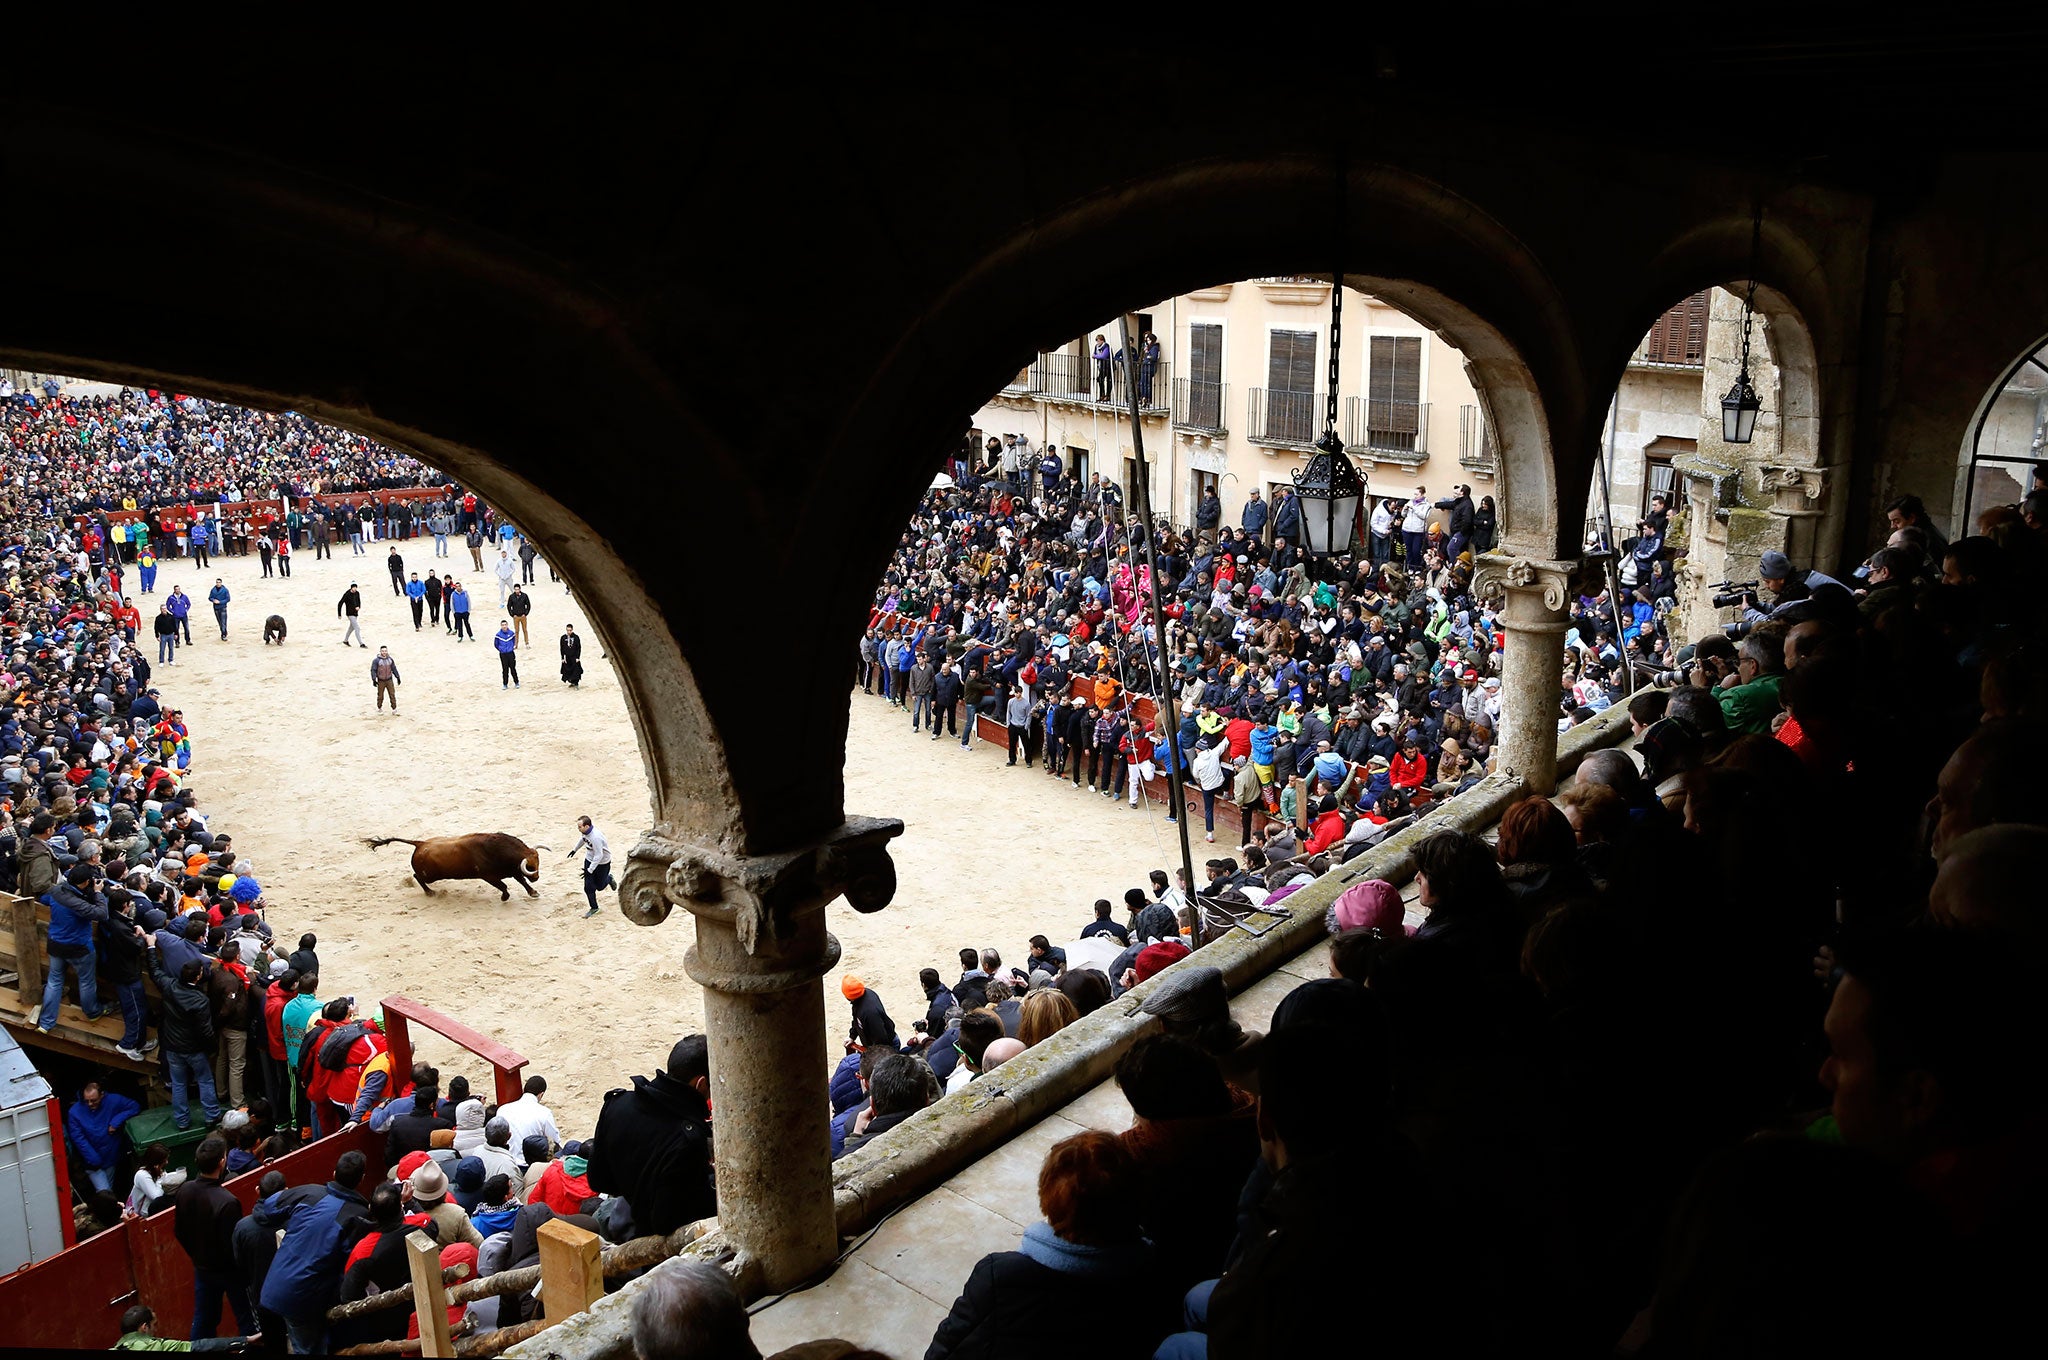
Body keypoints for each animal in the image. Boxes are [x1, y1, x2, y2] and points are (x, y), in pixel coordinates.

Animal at [362, 827, 548, 901]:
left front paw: (534, 893)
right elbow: (504, 886)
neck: (497, 849)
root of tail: (420, 844)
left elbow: (522, 881)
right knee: (417, 876)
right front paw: (505, 897)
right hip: (430, 876)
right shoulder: (488, 876)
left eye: (538, 862)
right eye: (531, 867)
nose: (537, 877)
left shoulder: (512, 870)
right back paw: (430, 893)